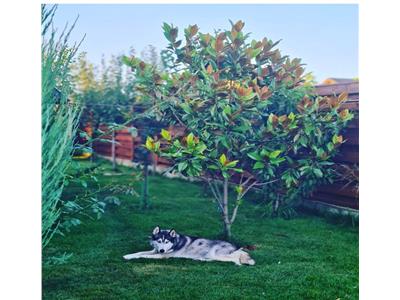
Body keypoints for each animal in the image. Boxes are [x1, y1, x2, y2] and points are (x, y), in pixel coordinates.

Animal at [122, 226, 255, 266]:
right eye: (159, 241)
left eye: (166, 242)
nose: (162, 250)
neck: (174, 243)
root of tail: (236, 246)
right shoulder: (155, 251)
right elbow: (140, 252)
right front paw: (128, 255)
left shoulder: (161, 256)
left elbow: (143, 256)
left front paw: (132, 257)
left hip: (216, 253)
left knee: (235, 258)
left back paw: (238, 263)